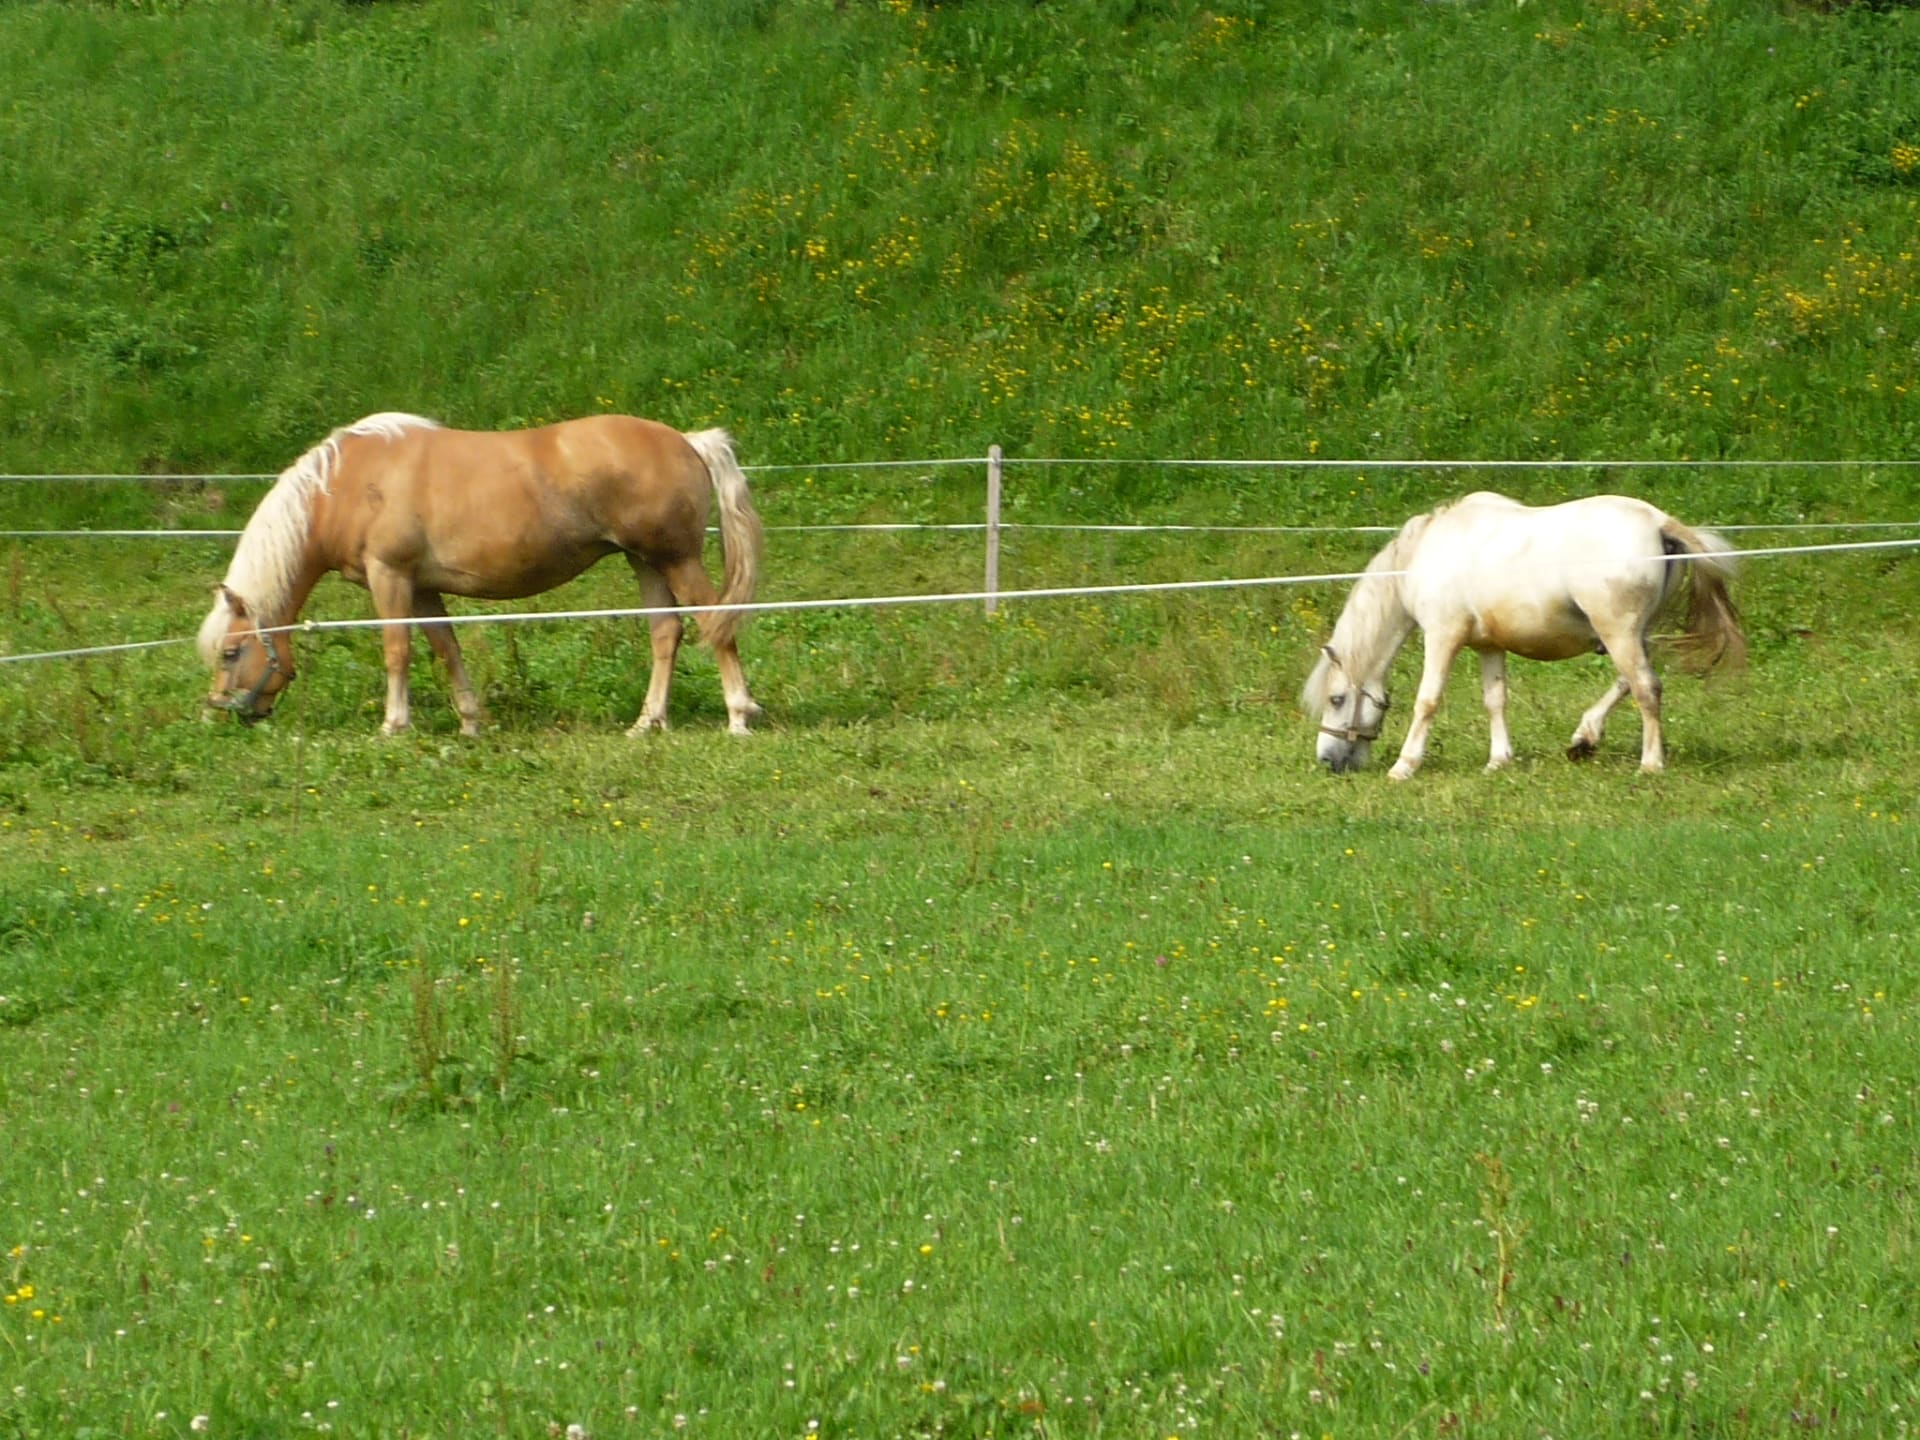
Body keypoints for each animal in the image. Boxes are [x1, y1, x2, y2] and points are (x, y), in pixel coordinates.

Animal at [199, 412, 764, 736]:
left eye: (230, 653)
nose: (214, 714)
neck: (345, 484)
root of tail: (687, 440)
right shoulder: (422, 587)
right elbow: (446, 648)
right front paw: (472, 723)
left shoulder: (390, 577)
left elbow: (397, 651)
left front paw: (393, 725)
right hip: (645, 561)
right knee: (665, 632)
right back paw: (647, 723)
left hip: (676, 559)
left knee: (715, 623)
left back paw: (738, 714)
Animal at [1300, 492, 1744, 779]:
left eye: (1336, 699)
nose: (1326, 760)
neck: (1426, 553)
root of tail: (1657, 522)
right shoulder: (1488, 645)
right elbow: (1495, 701)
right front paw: (1499, 760)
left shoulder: (1443, 637)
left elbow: (1427, 701)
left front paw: (1404, 766)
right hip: (1634, 635)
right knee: (1628, 682)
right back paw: (1584, 738)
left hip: (1620, 634)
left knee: (1646, 689)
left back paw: (1650, 764)